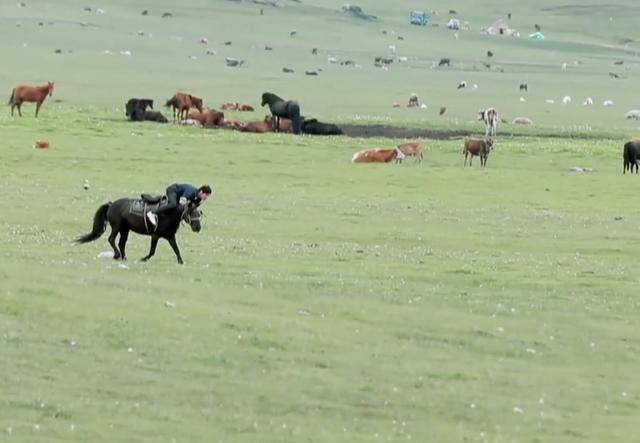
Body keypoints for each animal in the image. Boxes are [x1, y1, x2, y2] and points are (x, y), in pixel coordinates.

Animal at [76, 197, 204, 266]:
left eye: (199, 213)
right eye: (191, 212)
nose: (198, 227)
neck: (168, 214)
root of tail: (111, 204)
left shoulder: (170, 236)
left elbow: (176, 249)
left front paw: (181, 262)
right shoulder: (155, 235)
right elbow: (152, 251)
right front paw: (144, 258)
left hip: (125, 230)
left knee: (121, 243)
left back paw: (124, 258)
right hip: (117, 227)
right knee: (111, 239)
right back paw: (117, 255)